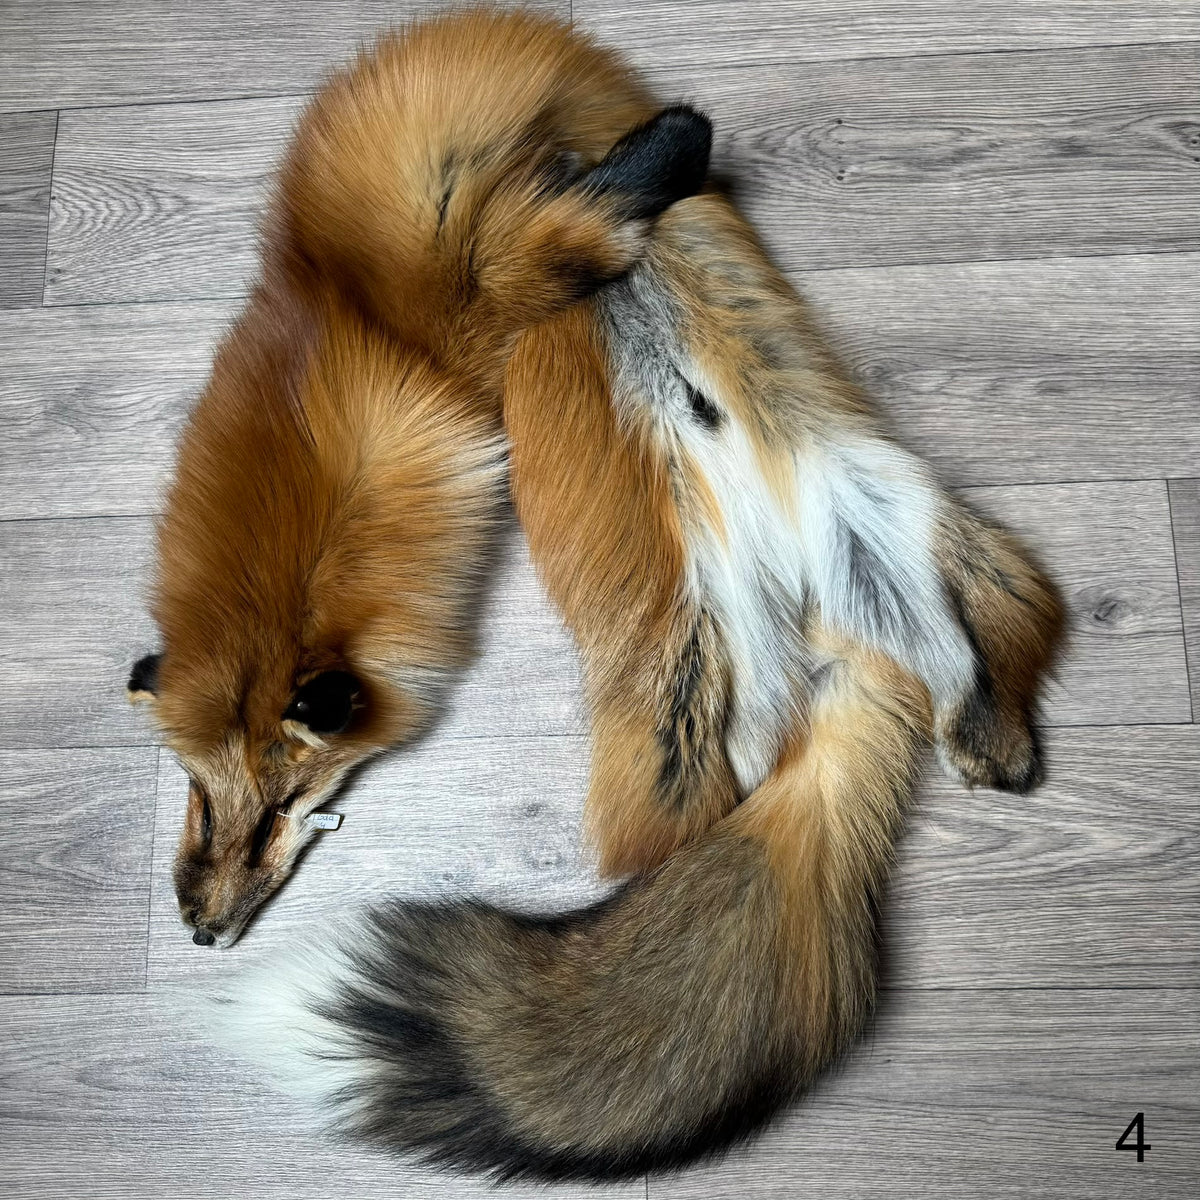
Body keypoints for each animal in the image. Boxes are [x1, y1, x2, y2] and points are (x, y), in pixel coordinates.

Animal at [131, 7, 1063, 1184]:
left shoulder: (485, 258)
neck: (347, 317)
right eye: (201, 801)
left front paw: (671, 146)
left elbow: (609, 198)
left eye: (277, 812)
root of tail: (827, 657)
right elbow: (604, 207)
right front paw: (661, 156)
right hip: (769, 642)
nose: (200, 931)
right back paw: (990, 741)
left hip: (851, 556)